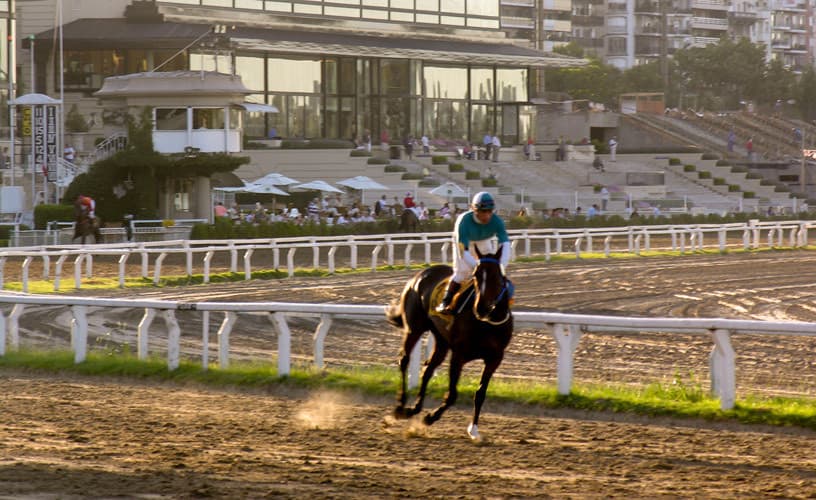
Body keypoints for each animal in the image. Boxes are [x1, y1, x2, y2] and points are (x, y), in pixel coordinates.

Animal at [388, 245, 512, 438]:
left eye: (495, 275)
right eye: (476, 275)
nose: (481, 308)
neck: (487, 323)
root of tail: (421, 274)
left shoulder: (495, 358)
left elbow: (480, 393)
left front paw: (473, 429)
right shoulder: (459, 355)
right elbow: (453, 394)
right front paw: (430, 417)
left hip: (441, 340)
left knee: (427, 369)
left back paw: (414, 408)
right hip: (414, 328)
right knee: (404, 360)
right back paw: (401, 406)